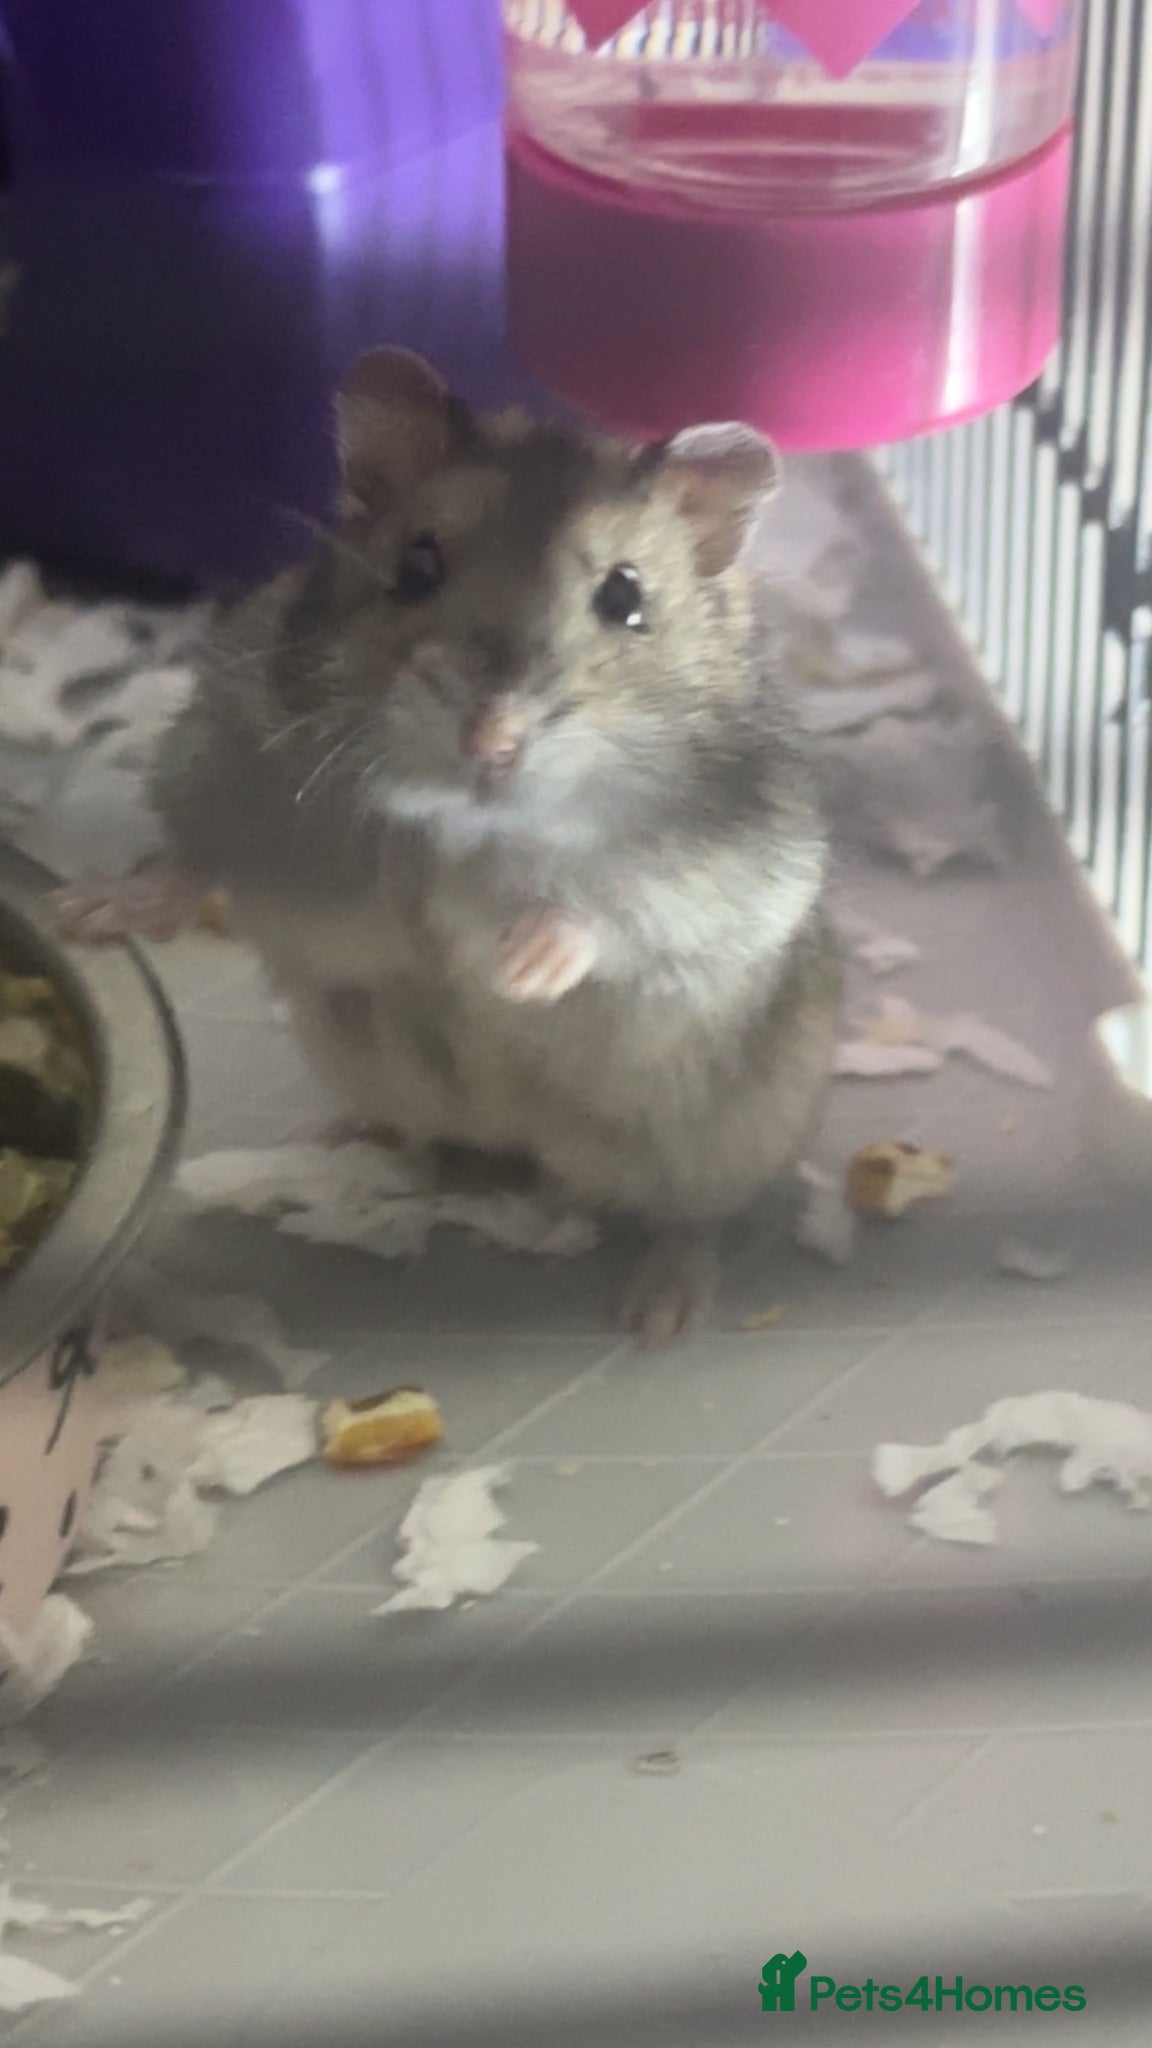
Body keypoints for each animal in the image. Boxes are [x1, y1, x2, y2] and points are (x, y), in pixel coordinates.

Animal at [149, 348, 841, 1343]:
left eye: (625, 596)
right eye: (416, 564)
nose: (491, 740)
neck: (465, 828)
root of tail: (523, 1152)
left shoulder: (735, 858)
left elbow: (624, 910)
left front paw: (516, 967)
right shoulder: (231, 736)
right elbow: (192, 850)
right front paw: (93, 912)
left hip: (734, 1126)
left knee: (694, 1216)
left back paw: (655, 1314)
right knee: (410, 1127)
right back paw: (325, 1137)